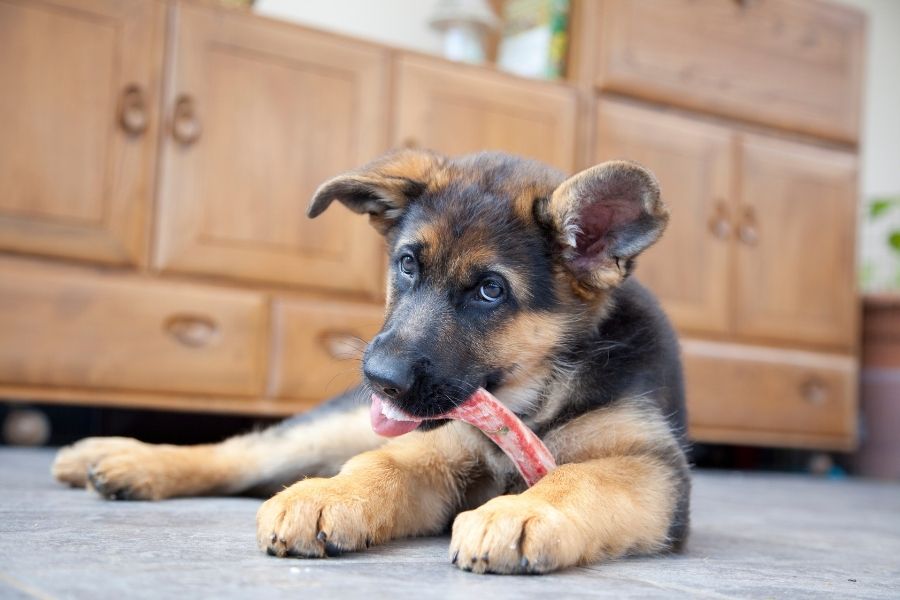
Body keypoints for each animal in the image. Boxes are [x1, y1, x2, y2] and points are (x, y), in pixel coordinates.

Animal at [54, 150, 688, 572]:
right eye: (407, 264)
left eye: (490, 291)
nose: (379, 381)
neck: (533, 398)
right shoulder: (436, 451)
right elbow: (379, 465)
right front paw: (328, 497)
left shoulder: (653, 469)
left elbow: (581, 477)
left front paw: (520, 512)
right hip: (334, 429)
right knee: (243, 453)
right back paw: (119, 458)